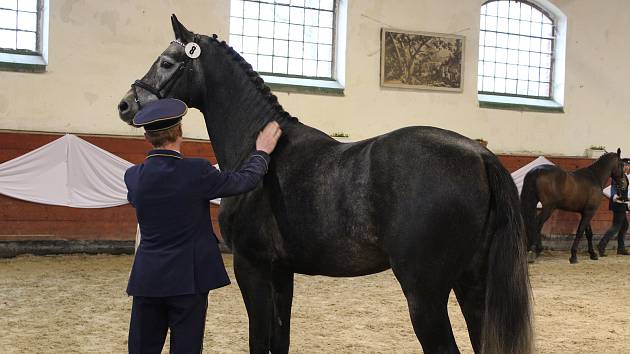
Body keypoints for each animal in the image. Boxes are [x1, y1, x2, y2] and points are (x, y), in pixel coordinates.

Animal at [117, 15, 532, 354]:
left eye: (167, 62)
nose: (125, 104)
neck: (260, 147)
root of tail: (478, 154)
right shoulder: (281, 271)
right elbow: (279, 338)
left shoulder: (252, 266)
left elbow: (258, 339)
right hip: (472, 284)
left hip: (424, 293)